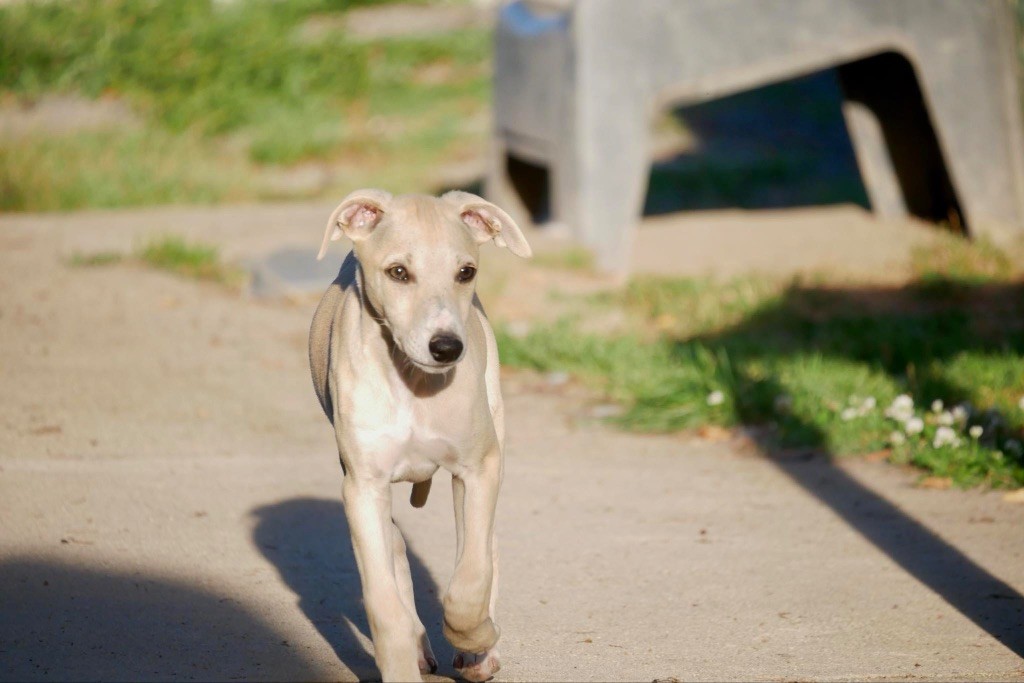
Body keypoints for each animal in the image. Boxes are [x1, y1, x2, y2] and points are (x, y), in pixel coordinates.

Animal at [307, 188, 532, 683]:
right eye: (398, 272)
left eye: (466, 272)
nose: (447, 347)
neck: (413, 383)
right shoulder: (362, 488)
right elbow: (384, 602)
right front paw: (402, 661)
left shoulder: (478, 468)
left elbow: (469, 582)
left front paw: (478, 639)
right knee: (395, 552)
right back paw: (419, 646)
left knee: (483, 547)